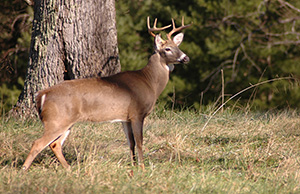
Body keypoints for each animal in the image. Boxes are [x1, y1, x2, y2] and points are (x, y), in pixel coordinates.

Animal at [22, 17, 192, 171]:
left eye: (177, 46)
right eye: (167, 49)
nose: (186, 58)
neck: (149, 82)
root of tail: (42, 94)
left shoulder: (125, 117)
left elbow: (131, 142)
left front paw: (133, 166)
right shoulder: (137, 113)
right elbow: (140, 141)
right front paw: (143, 168)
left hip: (65, 121)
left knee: (55, 144)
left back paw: (69, 169)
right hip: (56, 120)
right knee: (38, 143)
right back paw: (24, 170)